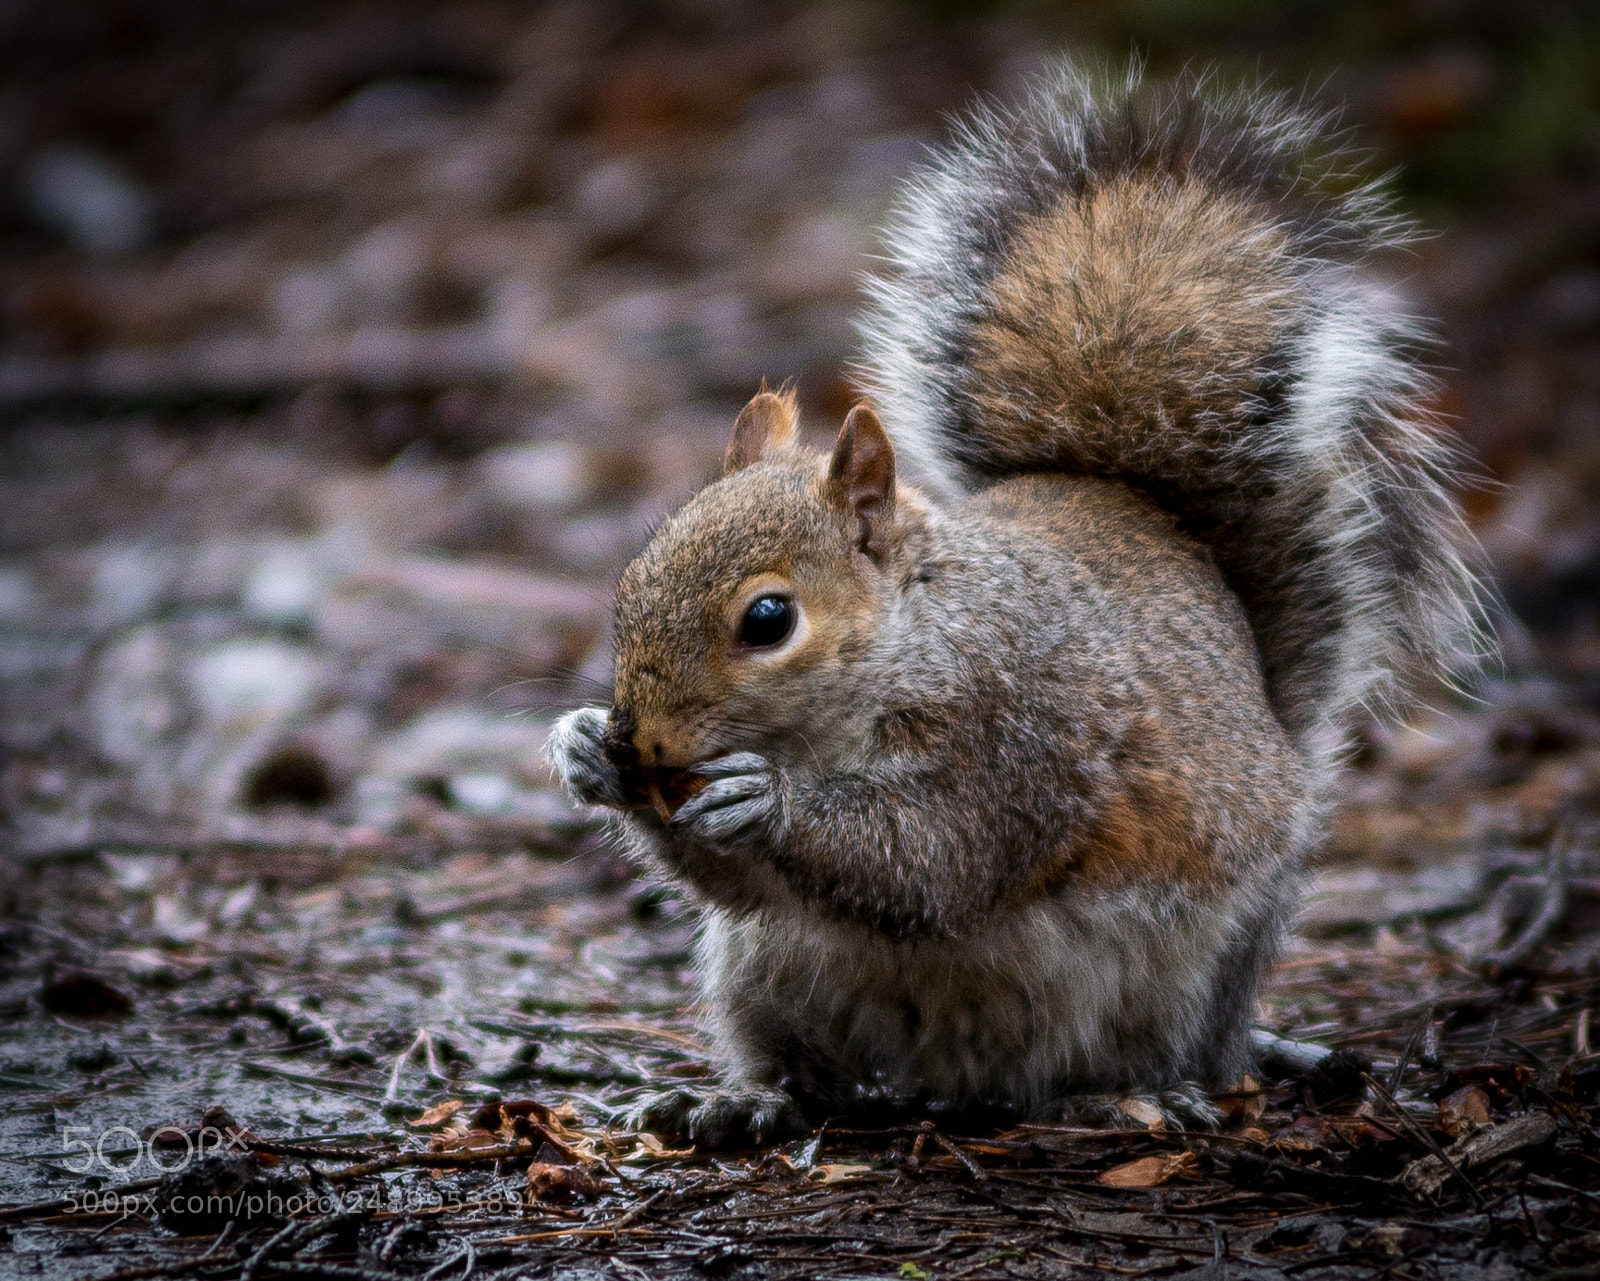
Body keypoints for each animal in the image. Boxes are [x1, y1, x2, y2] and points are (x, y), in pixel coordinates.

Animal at [547, 64, 1485, 1145]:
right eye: (630, 583)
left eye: (768, 620)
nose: (647, 739)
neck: (909, 643)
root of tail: (955, 1078)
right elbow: (743, 882)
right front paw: (584, 748)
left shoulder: (1022, 731)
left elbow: (938, 859)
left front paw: (764, 802)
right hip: (764, 971)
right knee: (810, 1070)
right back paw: (746, 1099)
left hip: (1181, 970)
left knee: (1131, 1057)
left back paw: (1130, 1093)